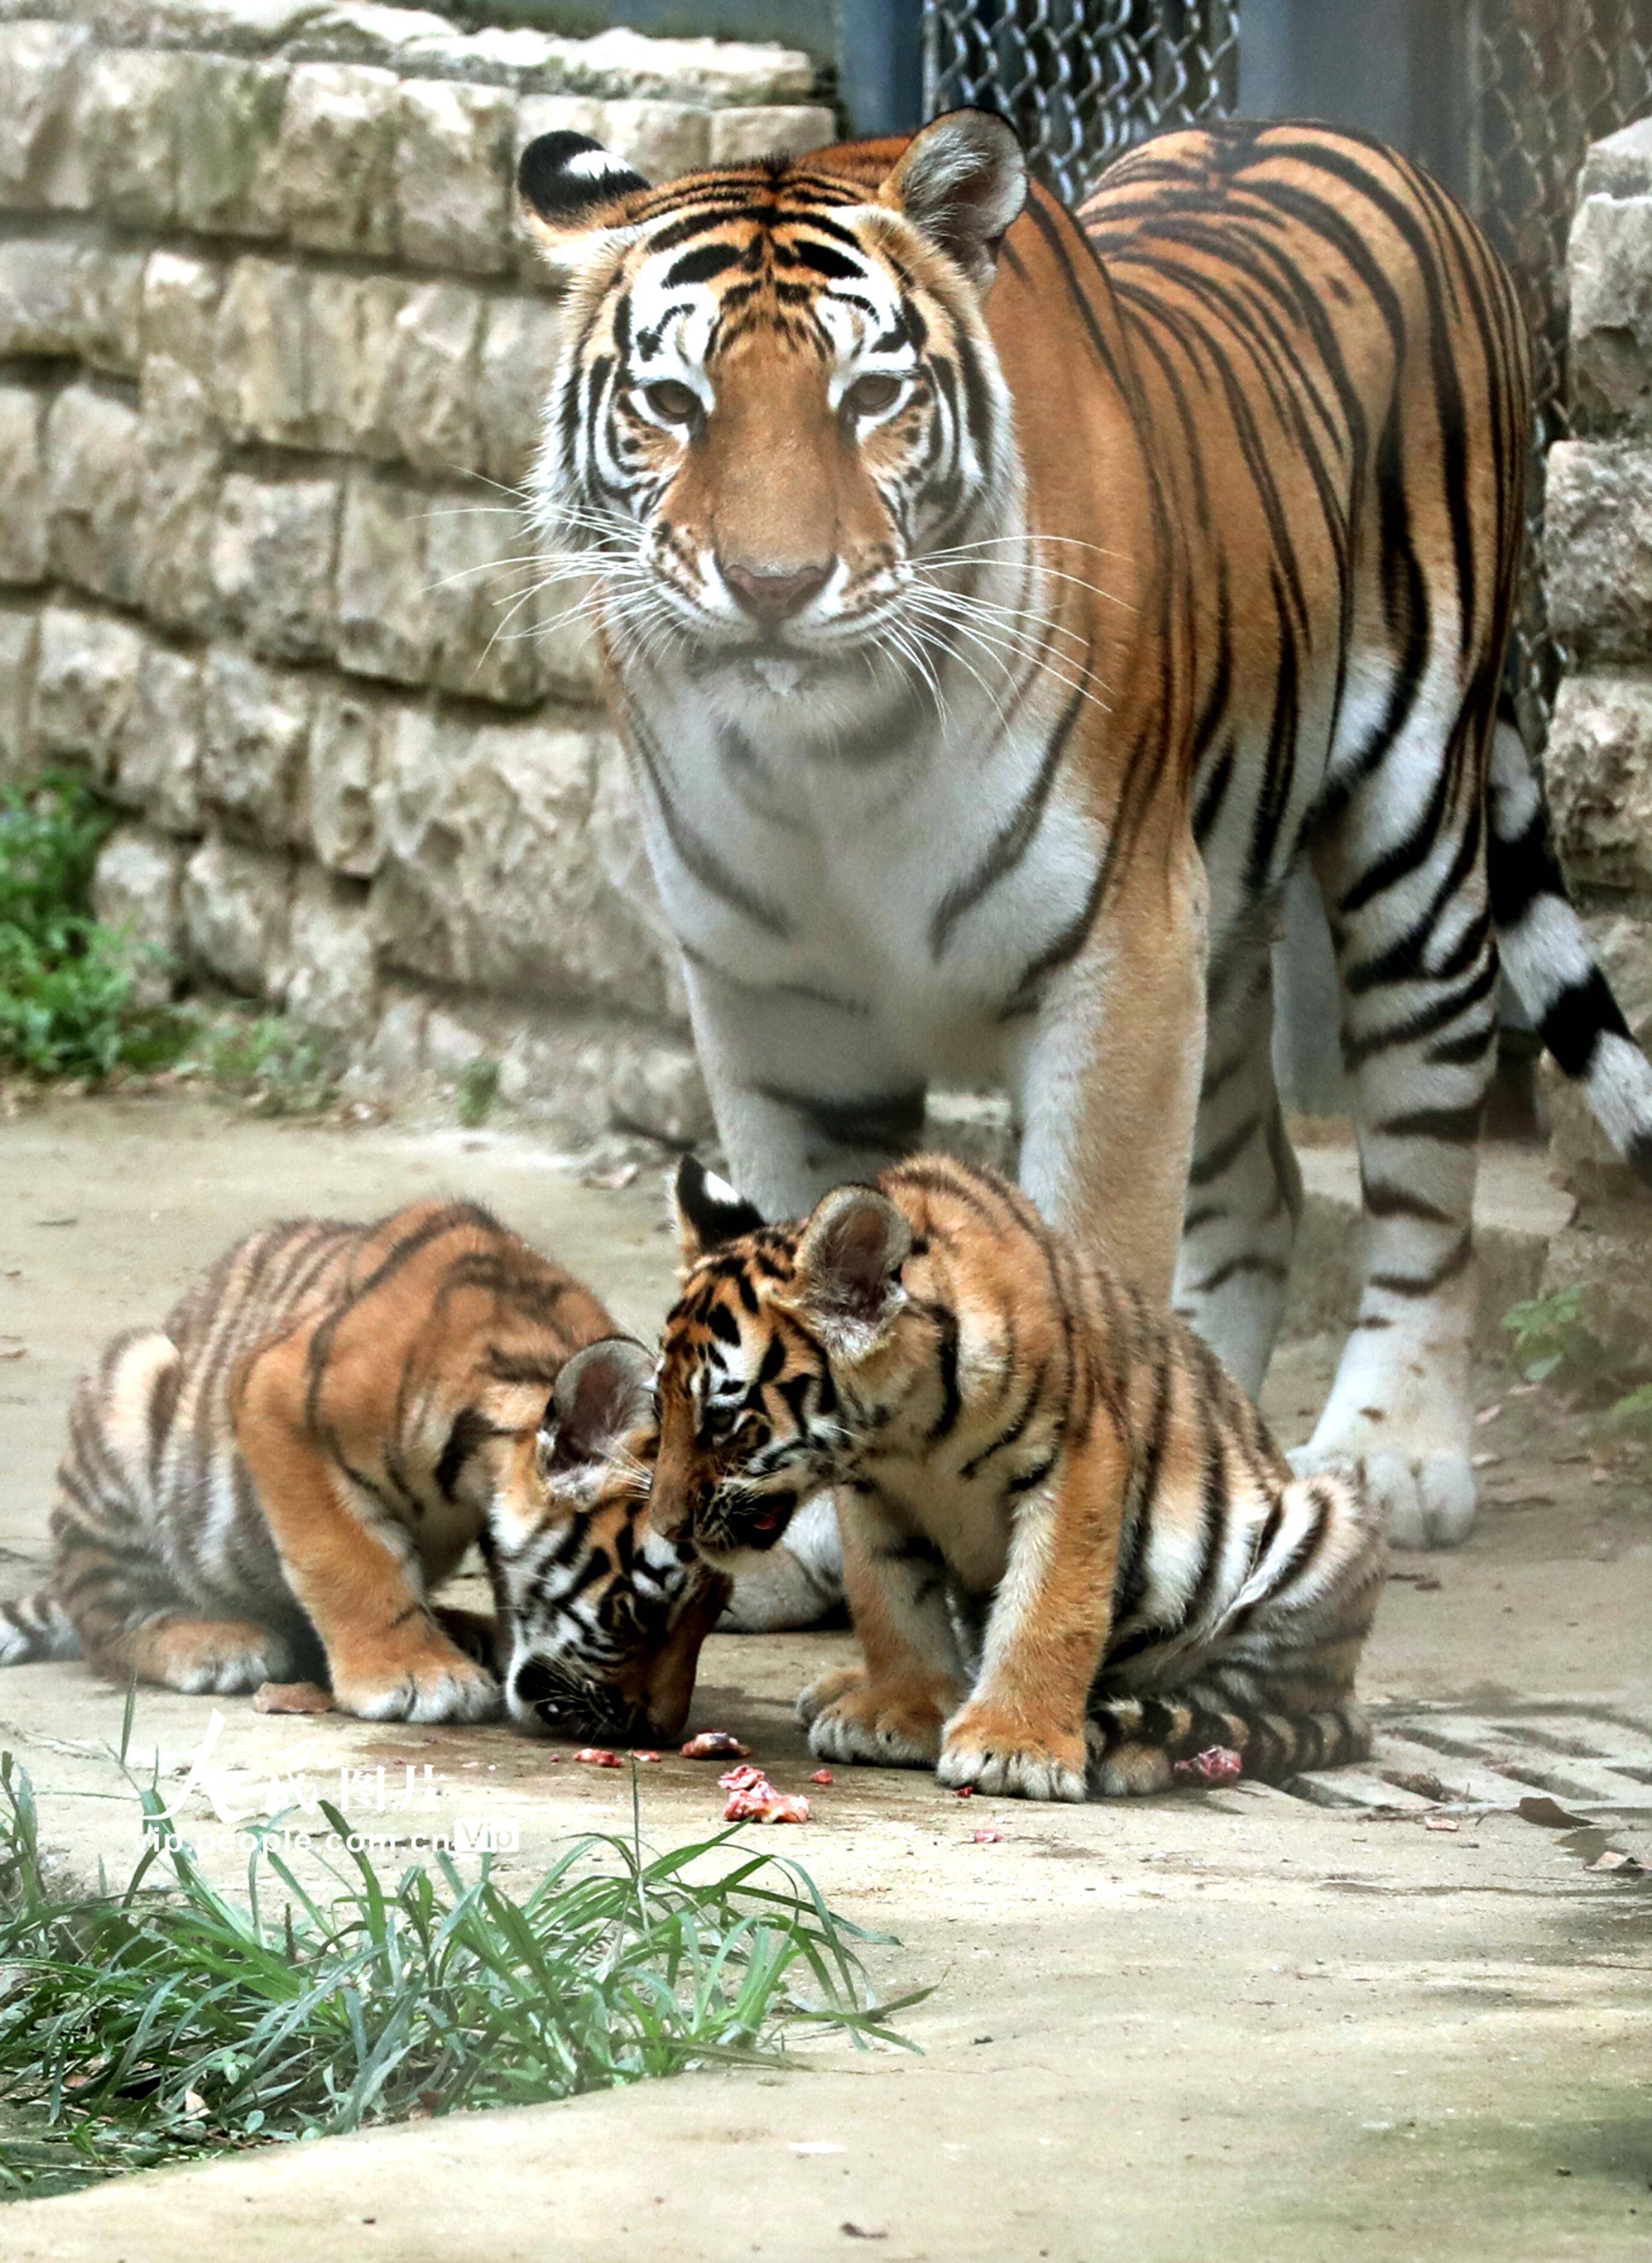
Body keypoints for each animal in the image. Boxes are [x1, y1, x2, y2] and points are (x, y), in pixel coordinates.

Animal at [516, 110, 1647, 1611]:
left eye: (870, 397)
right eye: (676, 402)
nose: (773, 587)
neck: (831, 760)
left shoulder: (1117, 956)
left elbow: (1089, 1257)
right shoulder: (782, 1009)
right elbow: (802, 1263)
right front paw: (813, 1532)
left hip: (1408, 846)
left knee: (1419, 1165)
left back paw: (1392, 1451)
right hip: (1222, 929)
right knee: (1263, 1194)